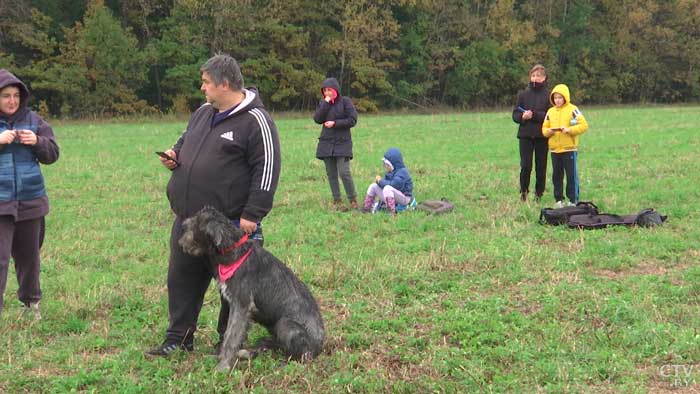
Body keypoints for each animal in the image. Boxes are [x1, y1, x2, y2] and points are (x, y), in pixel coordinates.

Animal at [178, 206, 326, 370]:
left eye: (194, 225)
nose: (180, 243)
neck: (235, 252)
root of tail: (320, 346)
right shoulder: (235, 306)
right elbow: (229, 333)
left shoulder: (241, 306)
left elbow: (232, 336)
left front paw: (223, 366)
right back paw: (253, 350)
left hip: (286, 325)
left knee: (302, 356)